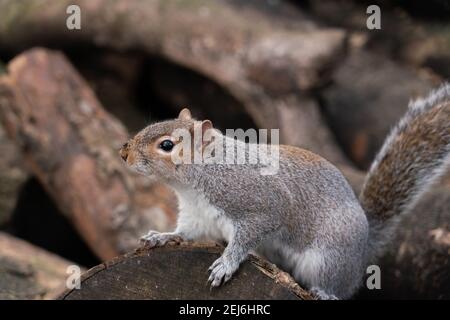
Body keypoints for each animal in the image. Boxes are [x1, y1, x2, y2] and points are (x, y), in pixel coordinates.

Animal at [118, 84, 448, 298]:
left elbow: (250, 234)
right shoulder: (197, 215)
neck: (199, 180)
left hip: (330, 256)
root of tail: (365, 245)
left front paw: (226, 263)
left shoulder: (260, 204)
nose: (124, 153)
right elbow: (186, 232)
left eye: (167, 145)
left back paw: (325, 293)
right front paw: (161, 236)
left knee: (339, 286)